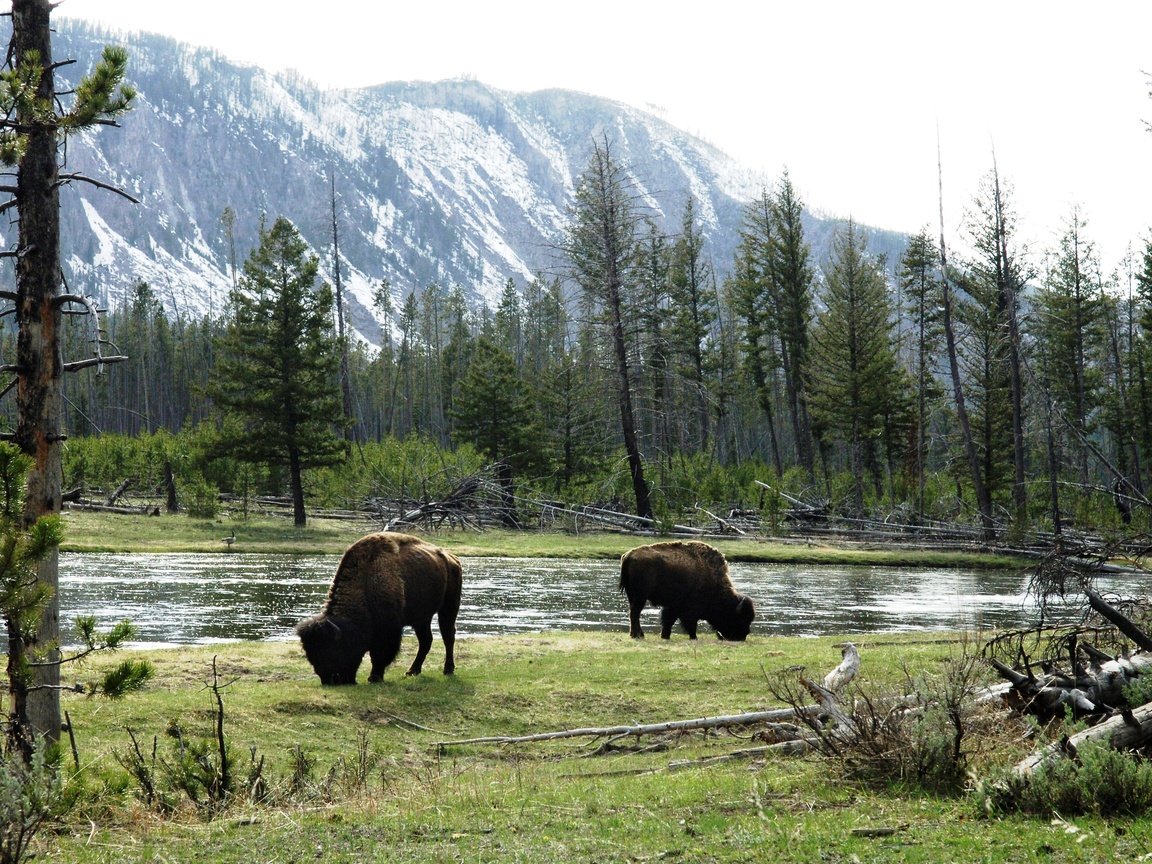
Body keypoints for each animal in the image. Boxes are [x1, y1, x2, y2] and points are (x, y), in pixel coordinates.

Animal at [294, 532, 460, 686]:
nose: (330, 681)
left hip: (449, 607)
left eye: (332, 650)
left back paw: (448, 669)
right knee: (426, 640)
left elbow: (379, 654)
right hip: (422, 618)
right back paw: (412, 671)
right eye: (310, 655)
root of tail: (452, 558)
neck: (365, 583)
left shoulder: (388, 630)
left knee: (448, 636)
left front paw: (374, 677)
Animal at [622, 541, 755, 645]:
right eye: (741, 619)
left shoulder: (673, 606)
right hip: (640, 597)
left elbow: (668, 621)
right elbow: (690, 624)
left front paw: (665, 636)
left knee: (633, 612)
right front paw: (694, 637)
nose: (742, 637)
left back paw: (638, 634)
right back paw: (637, 635)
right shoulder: (690, 610)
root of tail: (629, 555)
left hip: (633, 596)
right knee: (635, 613)